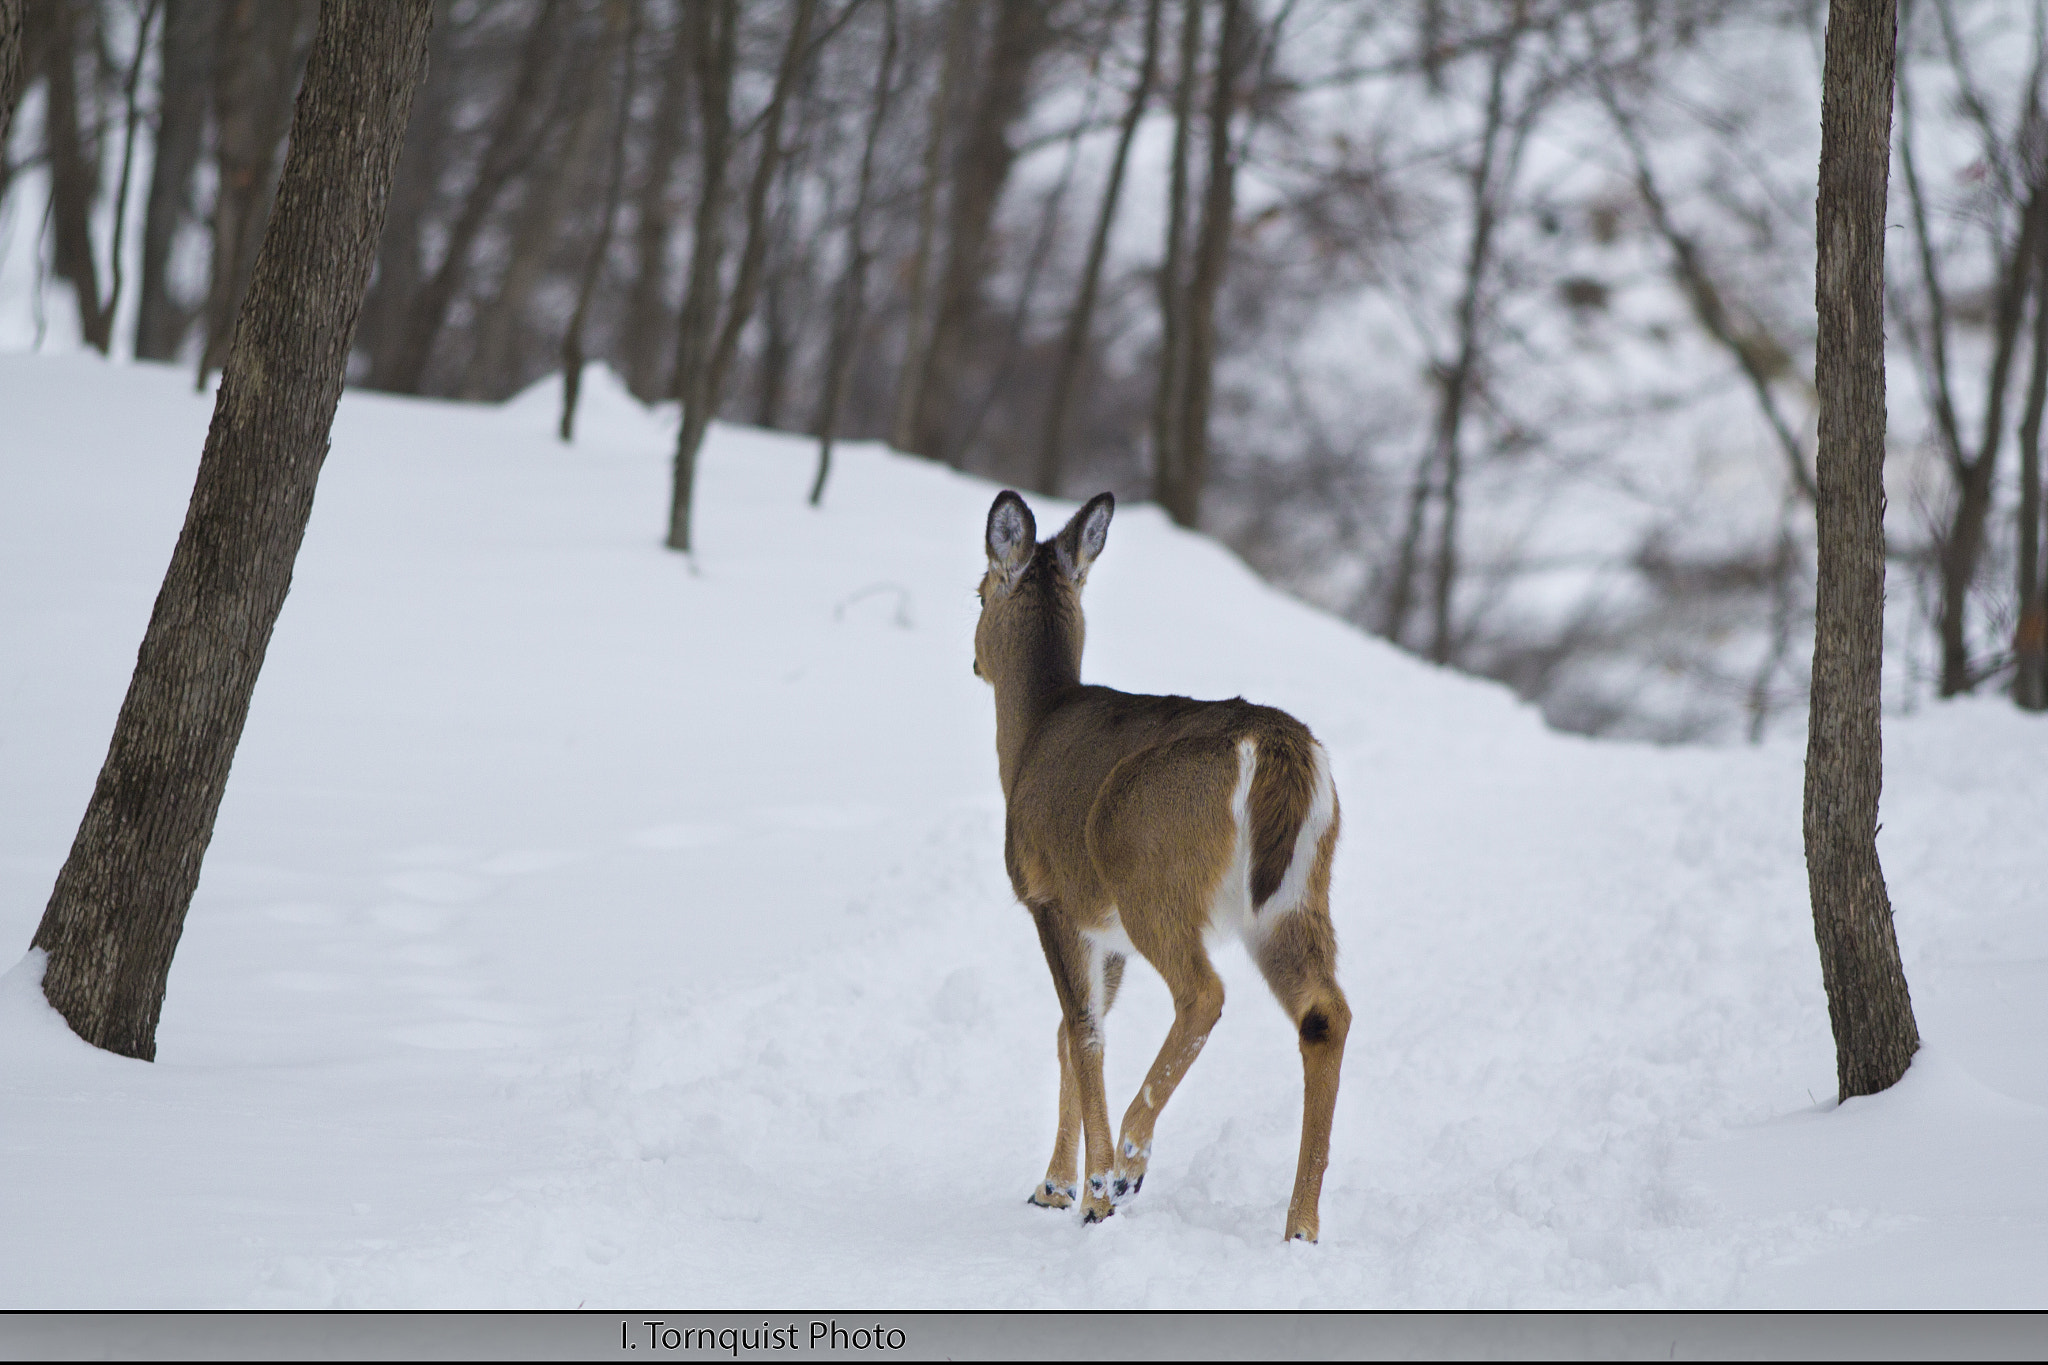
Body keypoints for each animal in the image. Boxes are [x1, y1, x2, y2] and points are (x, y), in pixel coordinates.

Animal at [973, 489, 1350, 1243]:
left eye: (977, 591)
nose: (973, 660)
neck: (1030, 737)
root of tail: (1277, 745)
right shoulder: (1102, 927)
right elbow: (1070, 1030)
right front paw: (1054, 1185)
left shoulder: (1048, 894)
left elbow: (1083, 1030)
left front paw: (1091, 1192)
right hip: (1295, 896)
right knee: (1325, 1014)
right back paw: (1300, 1228)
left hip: (1154, 874)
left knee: (1204, 992)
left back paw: (1130, 1159)